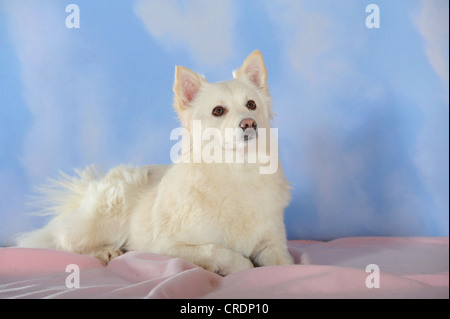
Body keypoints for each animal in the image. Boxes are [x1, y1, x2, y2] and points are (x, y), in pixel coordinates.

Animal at [15, 51, 294, 276]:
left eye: (251, 105)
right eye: (218, 111)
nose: (249, 123)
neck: (238, 169)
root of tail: (89, 189)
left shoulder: (273, 244)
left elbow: (286, 264)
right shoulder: (166, 245)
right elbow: (217, 250)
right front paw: (242, 265)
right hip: (108, 216)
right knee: (65, 243)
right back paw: (105, 252)